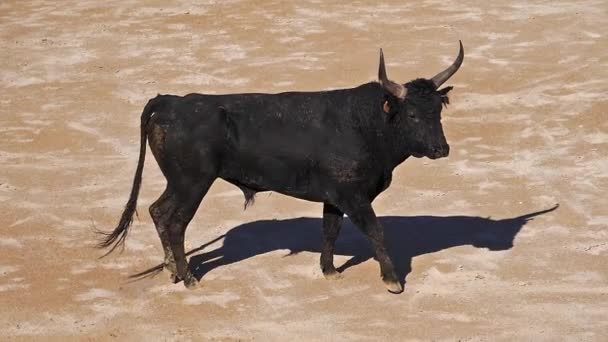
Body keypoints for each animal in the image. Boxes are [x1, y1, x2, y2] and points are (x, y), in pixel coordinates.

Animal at [101, 41, 466, 292]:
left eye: (438, 111)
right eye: (413, 115)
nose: (441, 149)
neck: (367, 123)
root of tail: (169, 101)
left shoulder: (334, 197)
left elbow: (330, 230)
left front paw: (329, 270)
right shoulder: (353, 196)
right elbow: (375, 230)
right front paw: (392, 280)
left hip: (178, 182)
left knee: (158, 211)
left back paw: (172, 270)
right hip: (192, 183)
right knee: (175, 221)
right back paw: (189, 276)